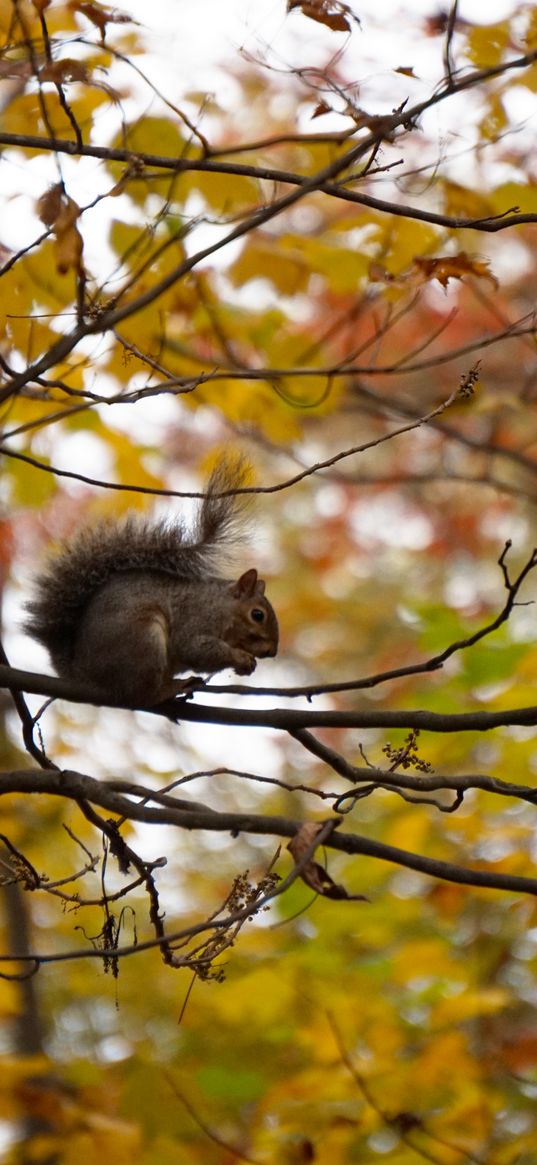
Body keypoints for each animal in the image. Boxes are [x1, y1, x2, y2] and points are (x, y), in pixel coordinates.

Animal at [23, 456, 278, 708]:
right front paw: (240, 657)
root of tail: (83, 674)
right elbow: (194, 649)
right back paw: (172, 688)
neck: (222, 607)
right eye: (257, 615)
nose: (272, 652)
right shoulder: (195, 620)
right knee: (141, 694)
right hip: (143, 640)